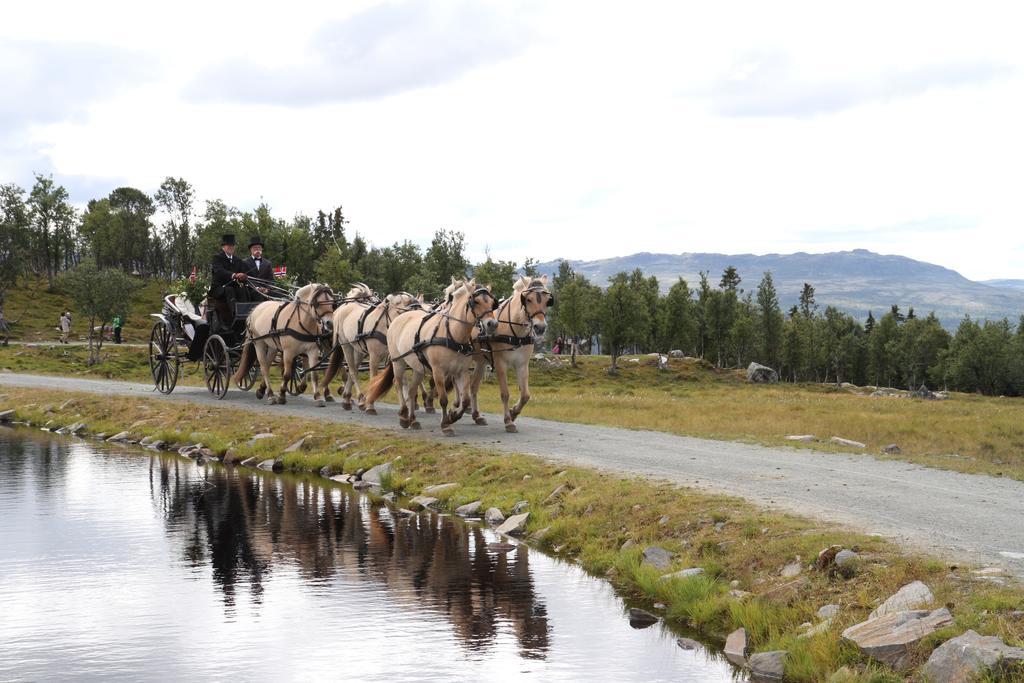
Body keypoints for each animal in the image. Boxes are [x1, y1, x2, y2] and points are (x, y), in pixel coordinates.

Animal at [366, 278, 497, 436]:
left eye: (492, 302)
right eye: (475, 301)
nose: (492, 324)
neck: (452, 334)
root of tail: (399, 317)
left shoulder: (461, 372)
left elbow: (465, 400)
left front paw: (453, 415)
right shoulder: (438, 371)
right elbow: (443, 399)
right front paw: (446, 425)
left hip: (418, 368)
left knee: (412, 391)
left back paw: (413, 420)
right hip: (399, 362)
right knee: (398, 384)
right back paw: (403, 416)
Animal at [468, 274, 557, 430]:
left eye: (547, 301)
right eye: (528, 299)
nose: (540, 327)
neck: (516, 332)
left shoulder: (522, 364)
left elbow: (525, 395)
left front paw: (514, 412)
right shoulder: (500, 364)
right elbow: (505, 393)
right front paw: (508, 421)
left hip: (480, 361)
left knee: (473, 386)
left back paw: (476, 415)